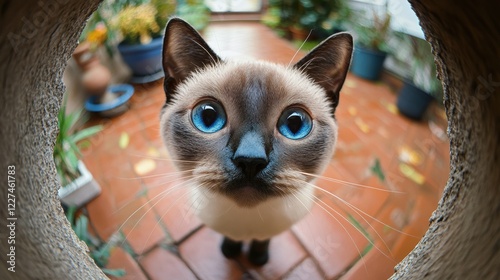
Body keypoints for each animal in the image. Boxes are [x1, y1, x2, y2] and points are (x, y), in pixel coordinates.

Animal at [160, 18, 352, 266]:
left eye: (295, 124)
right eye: (208, 117)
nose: (250, 160)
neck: (247, 223)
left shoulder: (269, 233)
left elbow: (262, 242)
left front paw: (259, 259)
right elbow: (231, 240)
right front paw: (230, 252)